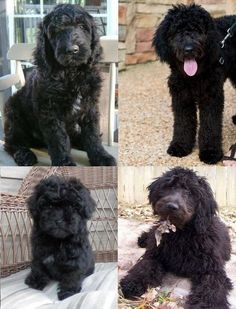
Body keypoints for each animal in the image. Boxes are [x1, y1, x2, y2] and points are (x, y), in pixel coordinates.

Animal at [4, 3, 116, 166]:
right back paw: (24, 155)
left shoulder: (90, 106)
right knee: (11, 142)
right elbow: (59, 138)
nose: (73, 50)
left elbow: (92, 134)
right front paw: (64, 163)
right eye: (56, 31)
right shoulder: (50, 110)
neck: (72, 73)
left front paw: (101, 156)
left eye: (82, 27)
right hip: (13, 113)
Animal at [121, 167, 231, 306]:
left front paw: (206, 304)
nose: (172, 206)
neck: (181, 233)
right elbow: (144, 268)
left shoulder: (212, 270)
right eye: (169, 186)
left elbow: (211, 288)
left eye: (189, 192)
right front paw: (133, 283)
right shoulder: (154, 255)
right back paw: (143, 238)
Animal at [153, 4, 236, 164]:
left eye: (198, 29)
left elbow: (210, 125)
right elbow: (183, 123)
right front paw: (180, 146)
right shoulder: (181, 97)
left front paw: (210, 152)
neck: (193, 77)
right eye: (177, 31)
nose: (189, 49)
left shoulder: (211, 97)